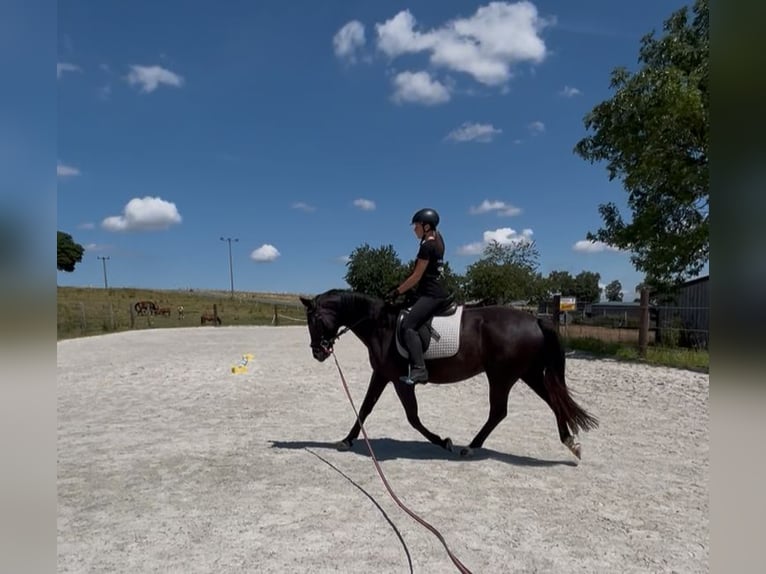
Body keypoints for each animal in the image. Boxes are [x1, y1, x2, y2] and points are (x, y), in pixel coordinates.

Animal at [300, 289, 599, 459]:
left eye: (314, 320)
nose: (318, 352)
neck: (381, 325)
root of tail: (534, 319)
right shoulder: (382, 375)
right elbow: (365, 408)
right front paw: (347, 440)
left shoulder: (401, 380)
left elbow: (412, 417)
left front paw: (444, 442)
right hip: (528, 373)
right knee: (553, 401)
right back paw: (571, 442)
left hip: (502, 376)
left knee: (499, 411)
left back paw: (471, 447)